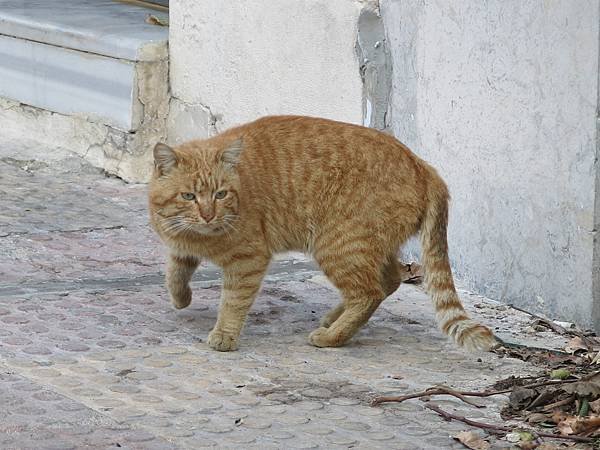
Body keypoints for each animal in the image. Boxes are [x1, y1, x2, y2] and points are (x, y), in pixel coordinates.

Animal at [149, 115, 496, 352]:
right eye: (189, 196)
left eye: (220, 194)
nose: (208, 214)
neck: (198, 234)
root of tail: (422, 164)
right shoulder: (180, 245)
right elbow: (174, 272)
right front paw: (181, 298)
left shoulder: (248, 260)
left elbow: (233, 301)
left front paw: (224, 334)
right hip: (368, 246)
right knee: (389, 282)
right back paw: (334, 319)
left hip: (338, 245)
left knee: (369, 291)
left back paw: (331, 336)